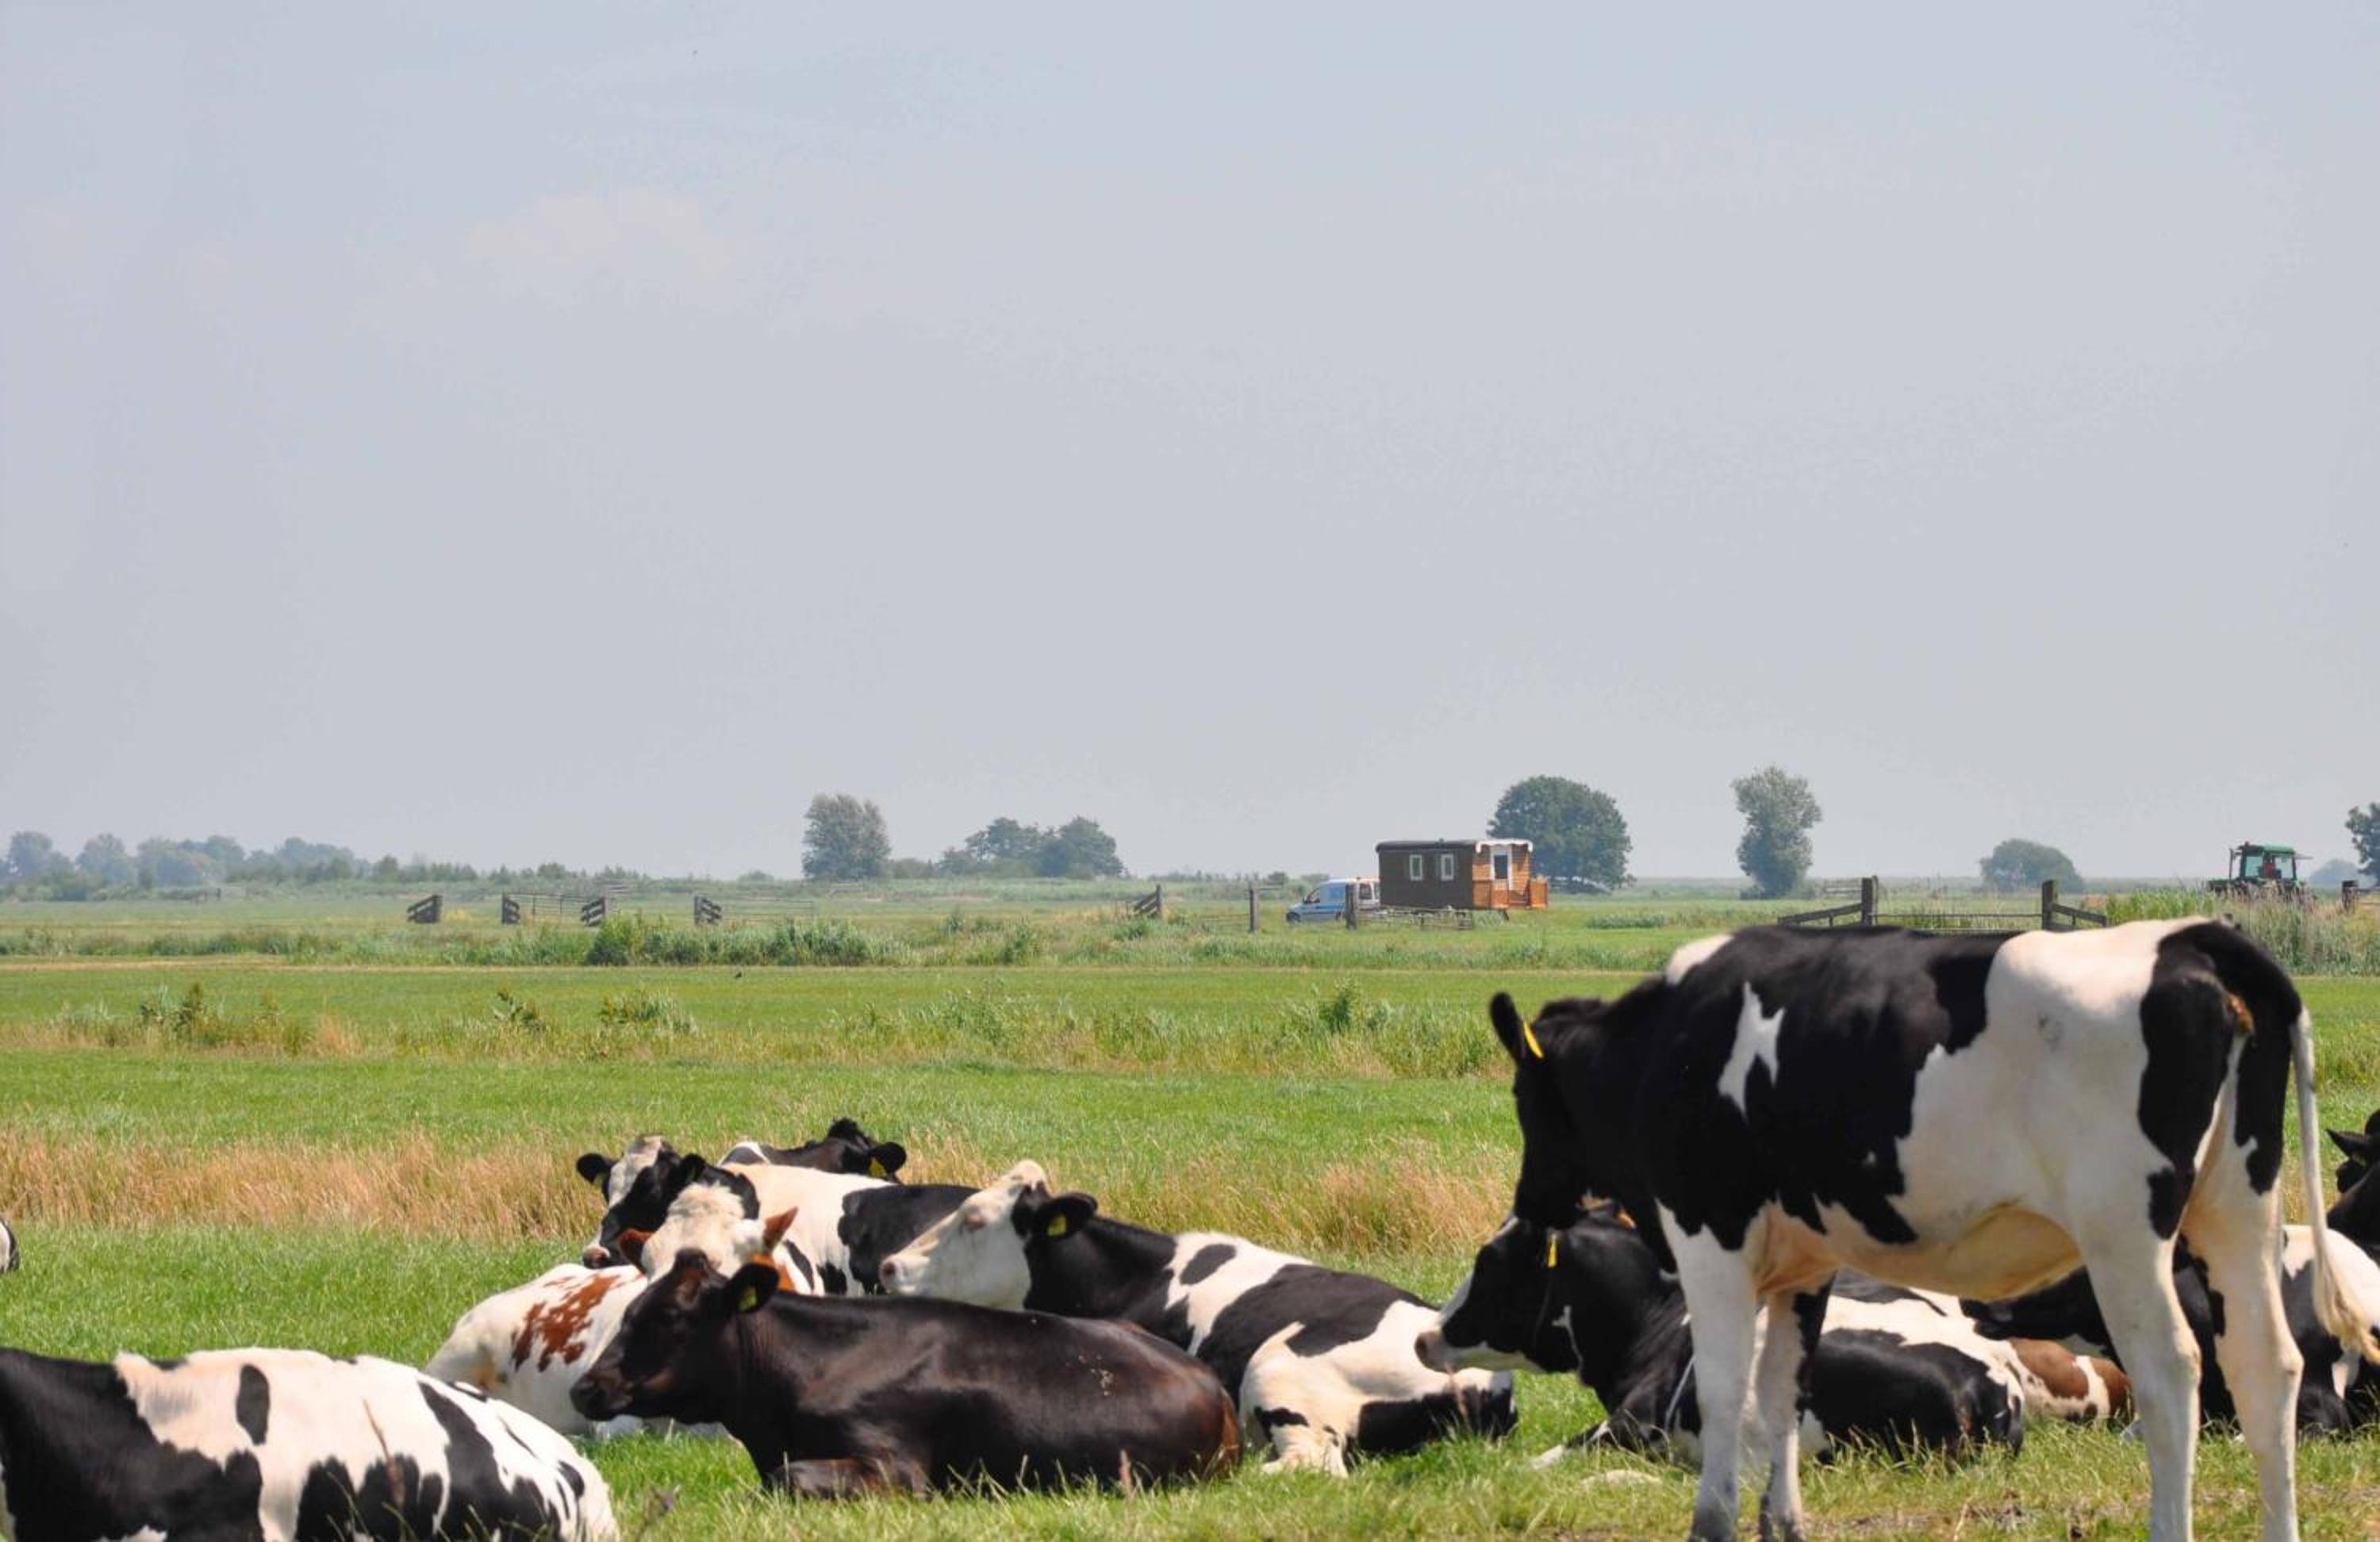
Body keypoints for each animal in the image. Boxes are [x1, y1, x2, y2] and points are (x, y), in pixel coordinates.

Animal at [878, 1160, 1516, 1475]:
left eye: (974, 1220)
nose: (889, 1266)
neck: (1136, 1278)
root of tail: (1482, 1379)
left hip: (1279, 1369)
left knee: (1313, 1465)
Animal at [1415, 1205, 2126, 1472]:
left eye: (1490, 1262)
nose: (1425, 1337)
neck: (1658, 1322)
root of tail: (1993, 1385)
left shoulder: (1632, 1422)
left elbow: (1546, 1458)